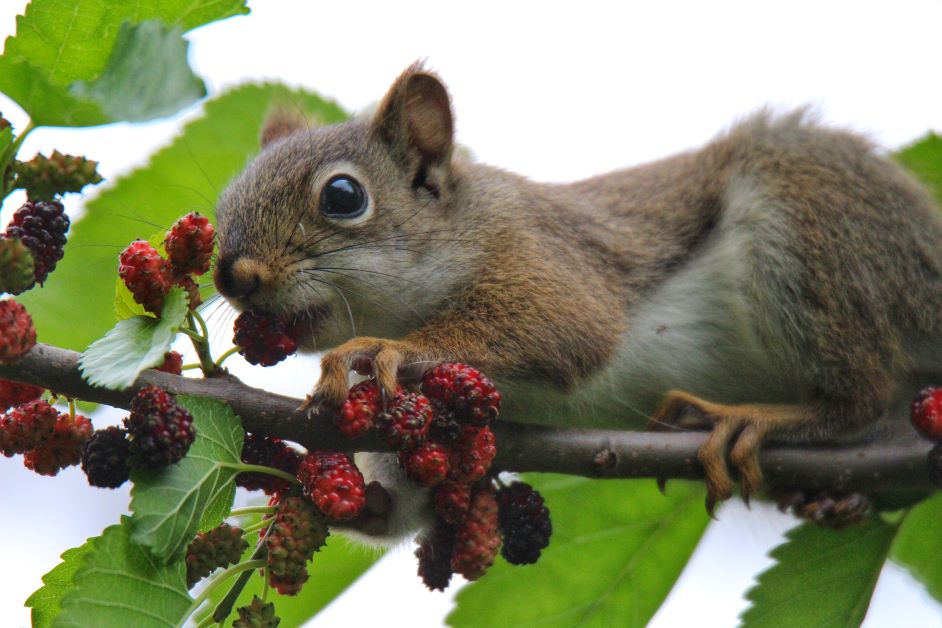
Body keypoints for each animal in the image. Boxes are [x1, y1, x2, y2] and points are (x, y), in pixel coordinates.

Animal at [212, 63, 942, 544]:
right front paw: (341, 493)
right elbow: (399, 500)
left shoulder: (549, 263)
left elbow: (565, 328)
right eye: (223, 204)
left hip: (815, 236)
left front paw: (383, 348)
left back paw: (754, 418)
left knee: (861, 396)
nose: (232, 274)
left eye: (343, 196)